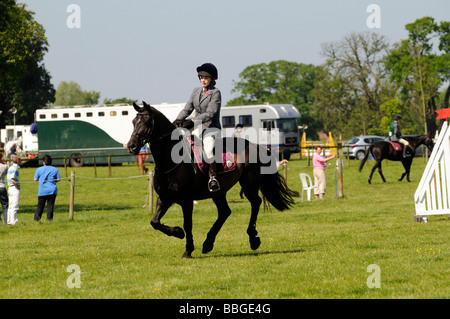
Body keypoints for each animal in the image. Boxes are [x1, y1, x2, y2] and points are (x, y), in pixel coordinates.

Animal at [126, 102, 298, 260]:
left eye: (147, 122)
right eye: (134, 122)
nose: (131, 146)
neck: (171, 159)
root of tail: (255, 146)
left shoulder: (186, 201)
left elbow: (187, 224)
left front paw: (188, 249)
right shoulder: (165, 198)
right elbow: (154, 222)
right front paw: (178, 232)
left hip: (249, 184)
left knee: (255, 203)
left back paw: (252, 238)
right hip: (219, 192)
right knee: (225, 212)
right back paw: (208, 243)